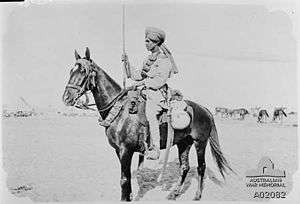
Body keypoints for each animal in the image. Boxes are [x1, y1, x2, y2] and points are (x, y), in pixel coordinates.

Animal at [62, 47, 233, 201]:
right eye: (71, 71)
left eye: (83, 71)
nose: (66, 98)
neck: (120, 110)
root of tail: (205, 110)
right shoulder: (119, 151)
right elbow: (127, 178)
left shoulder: (126, 150)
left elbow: (124, 179)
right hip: (184, 143)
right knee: (184, 167)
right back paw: (174, 194)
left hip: (200, 143)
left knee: (201, 167)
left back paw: (197, 195)